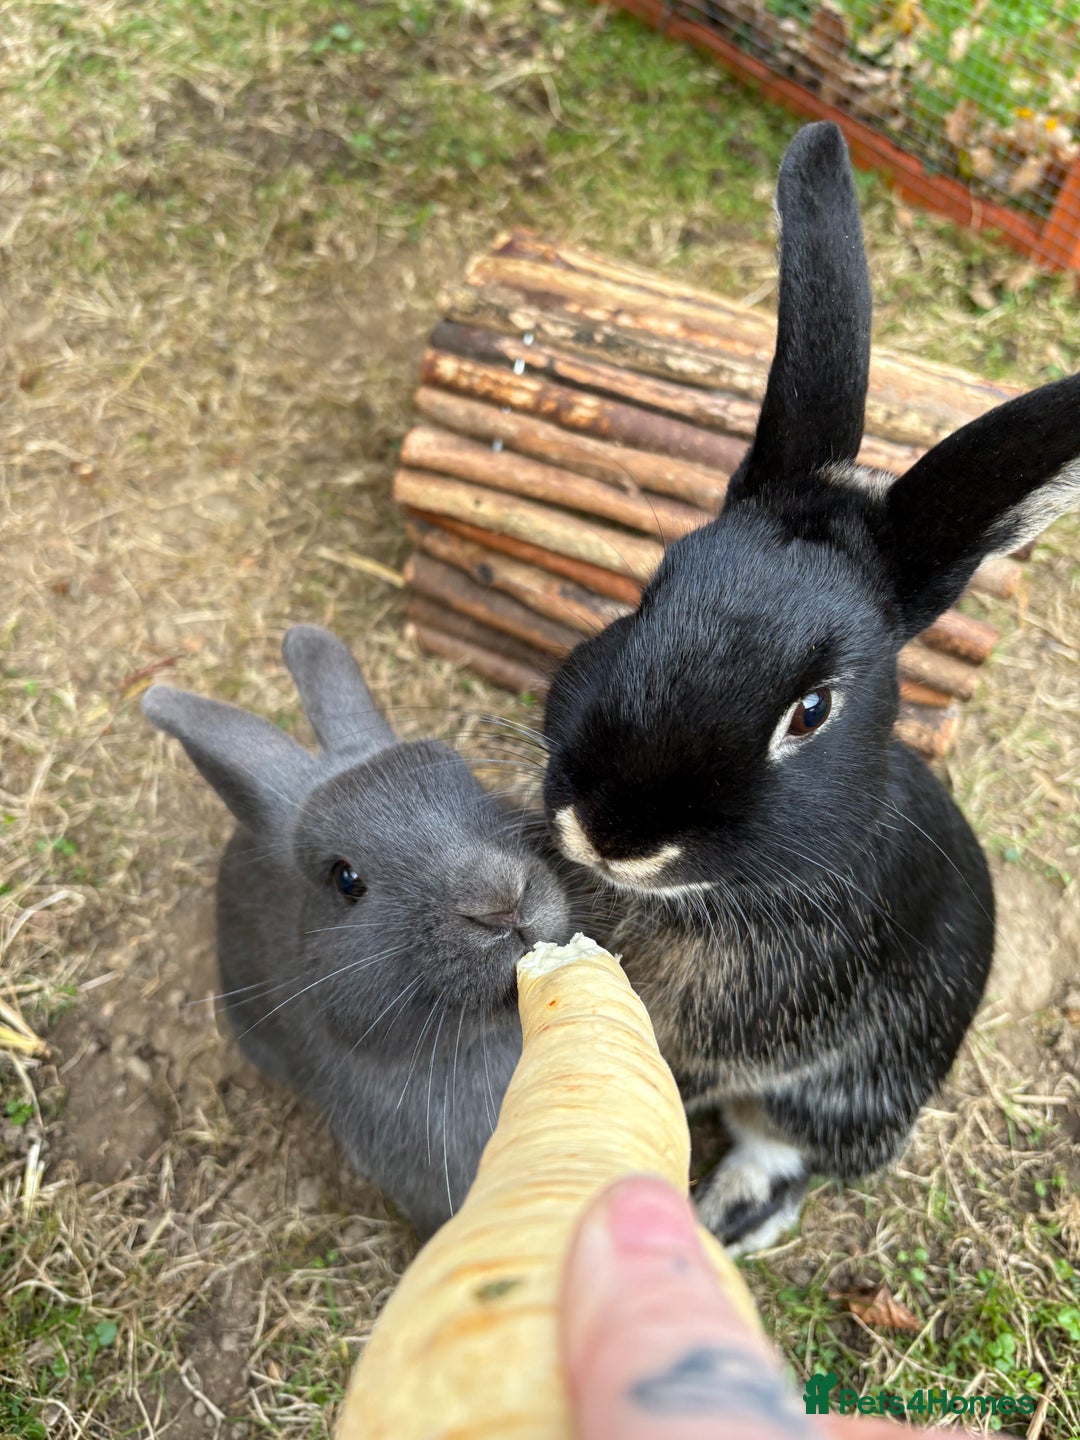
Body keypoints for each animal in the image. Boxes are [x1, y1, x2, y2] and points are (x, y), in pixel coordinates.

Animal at [540, 121, 1080, 1254]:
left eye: (812, 711)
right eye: (649, 594)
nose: (614, 830)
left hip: (834, 1096)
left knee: (787, 1158)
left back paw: (724, 1217)